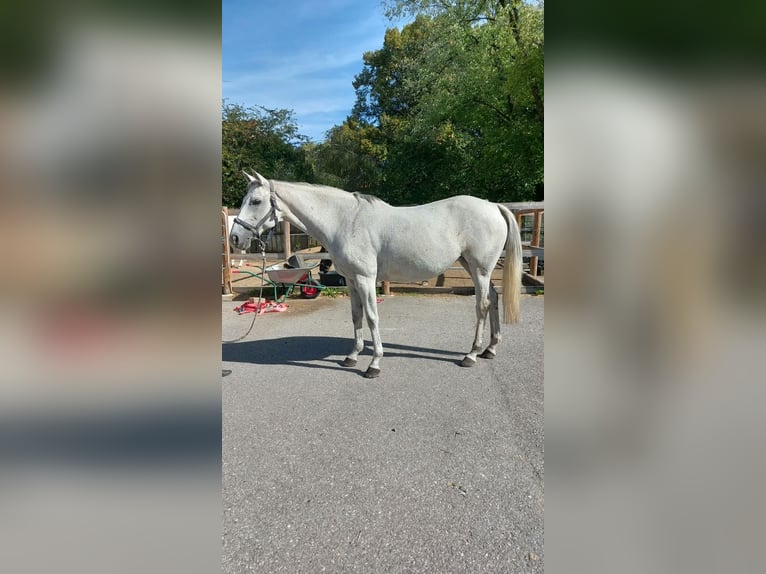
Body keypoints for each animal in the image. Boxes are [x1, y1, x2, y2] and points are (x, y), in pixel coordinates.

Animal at [229, 171, 522, 378]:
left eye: (256, 201)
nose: (235, 238)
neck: (345, 221)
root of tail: (493, 206)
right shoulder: (351, 280)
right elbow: (356, 316)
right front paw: (352, 357)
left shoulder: (365, 279)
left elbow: (371, 317)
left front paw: (374, 364)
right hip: (473, 268)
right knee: (494, 299)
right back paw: (490, 349)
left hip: (480, 270)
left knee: (482, 305)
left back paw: (471, 354)